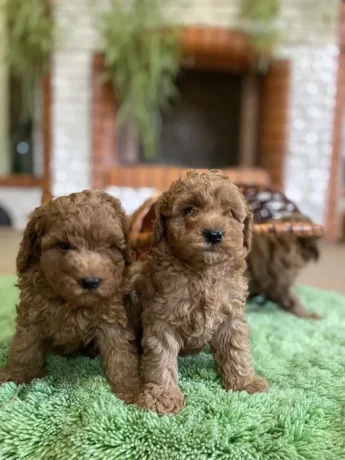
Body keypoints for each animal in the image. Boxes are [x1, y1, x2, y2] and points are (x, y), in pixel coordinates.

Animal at [0, 190, 140, 402]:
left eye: (110, 246)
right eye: (63, 246)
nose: (90, 281)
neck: (71, 302)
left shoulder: (111, 315)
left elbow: (120, 352)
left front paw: (130, 388)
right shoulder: (33, 311)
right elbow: (25, 347)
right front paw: (15, 377)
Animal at [127, 171, 268, 416]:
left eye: (230, 213)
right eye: (189, 210)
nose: (214, 234)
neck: (203, 272)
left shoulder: (231, 315)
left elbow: (236, 348)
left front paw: (245, 381)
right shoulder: (162, 318)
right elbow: (160, 358)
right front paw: (162, 396)